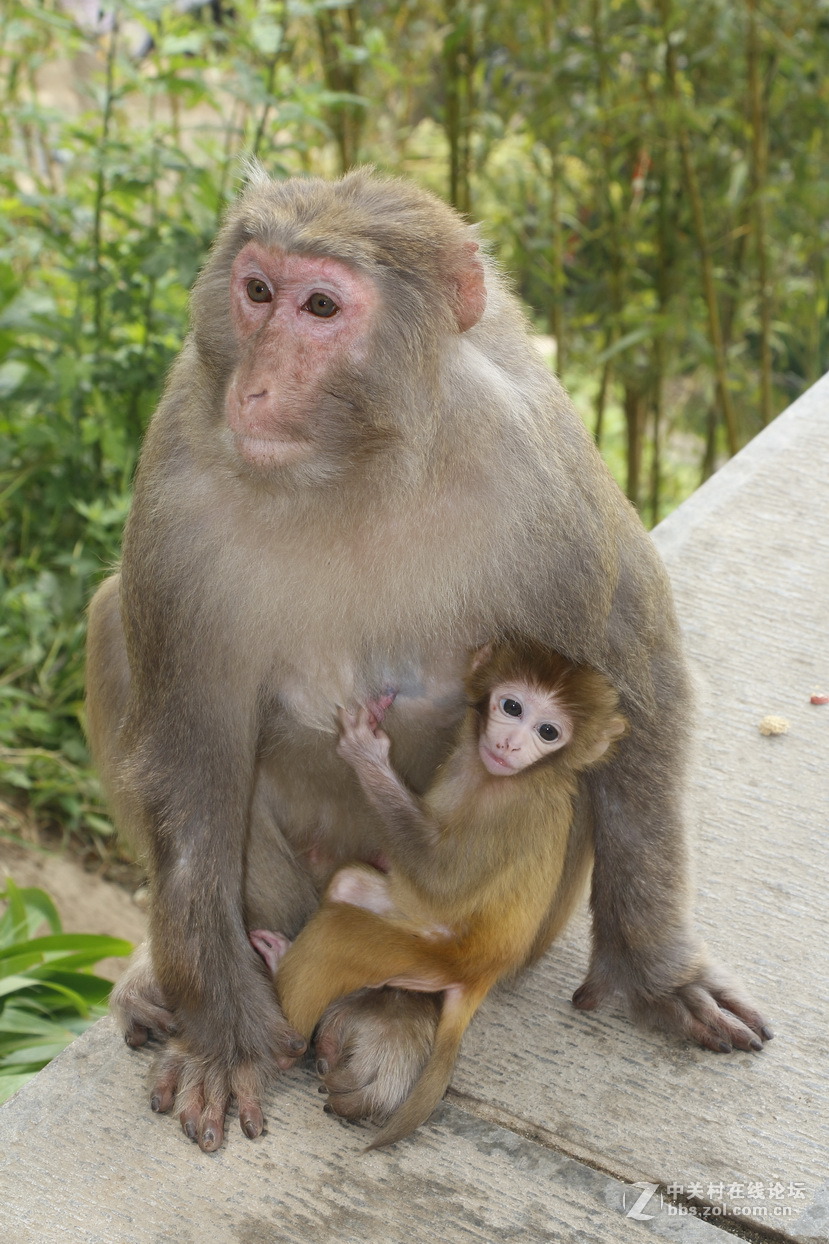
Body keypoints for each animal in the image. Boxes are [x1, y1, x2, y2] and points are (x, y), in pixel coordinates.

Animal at [248, 646, 622, 1149]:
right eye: (512, 707)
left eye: (549, 732)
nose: (510, 745)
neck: (499, 776)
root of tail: (482, 975)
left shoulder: (510, 813)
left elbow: (440, 878)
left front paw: (365, 751)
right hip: (412, 924)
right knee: (348, 885)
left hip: (433, 955)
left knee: (336, 935)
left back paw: (286, 1032)